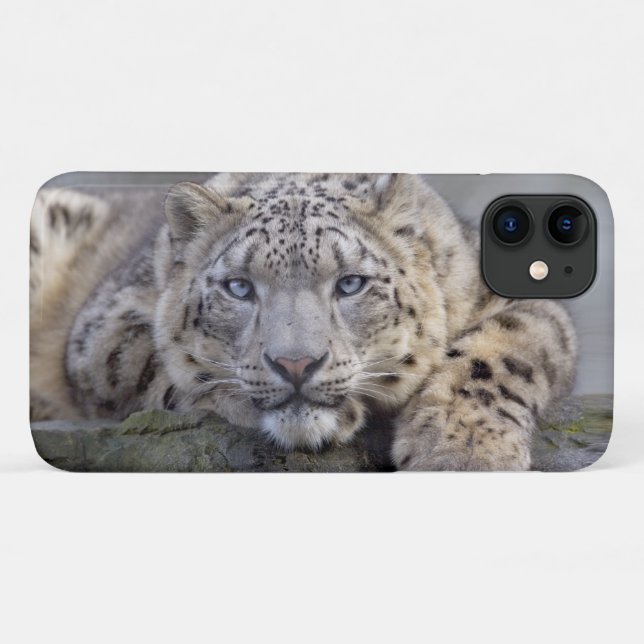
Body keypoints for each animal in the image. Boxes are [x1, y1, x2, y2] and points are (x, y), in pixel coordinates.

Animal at [29, 173, 577, 470]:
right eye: (239, 287)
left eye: (351, 283)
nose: (296, 364)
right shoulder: (106, 327)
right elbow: (169, 367)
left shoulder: (516, 300)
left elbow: (500, 355)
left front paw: (463, 453)